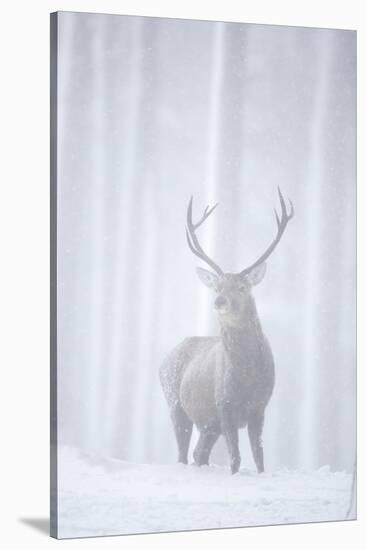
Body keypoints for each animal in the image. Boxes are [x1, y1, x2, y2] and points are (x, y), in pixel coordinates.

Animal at [160, 190, 294, 474]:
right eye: (217, 286)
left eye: (242, 287)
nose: (219, 301)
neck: (248, 376)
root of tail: (164, 358)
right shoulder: (225, 405)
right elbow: (235, 459)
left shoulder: (259, 407)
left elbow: (259, 458)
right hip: (175, 403)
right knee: (183, 454)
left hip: (208, 424)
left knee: (199, 454)